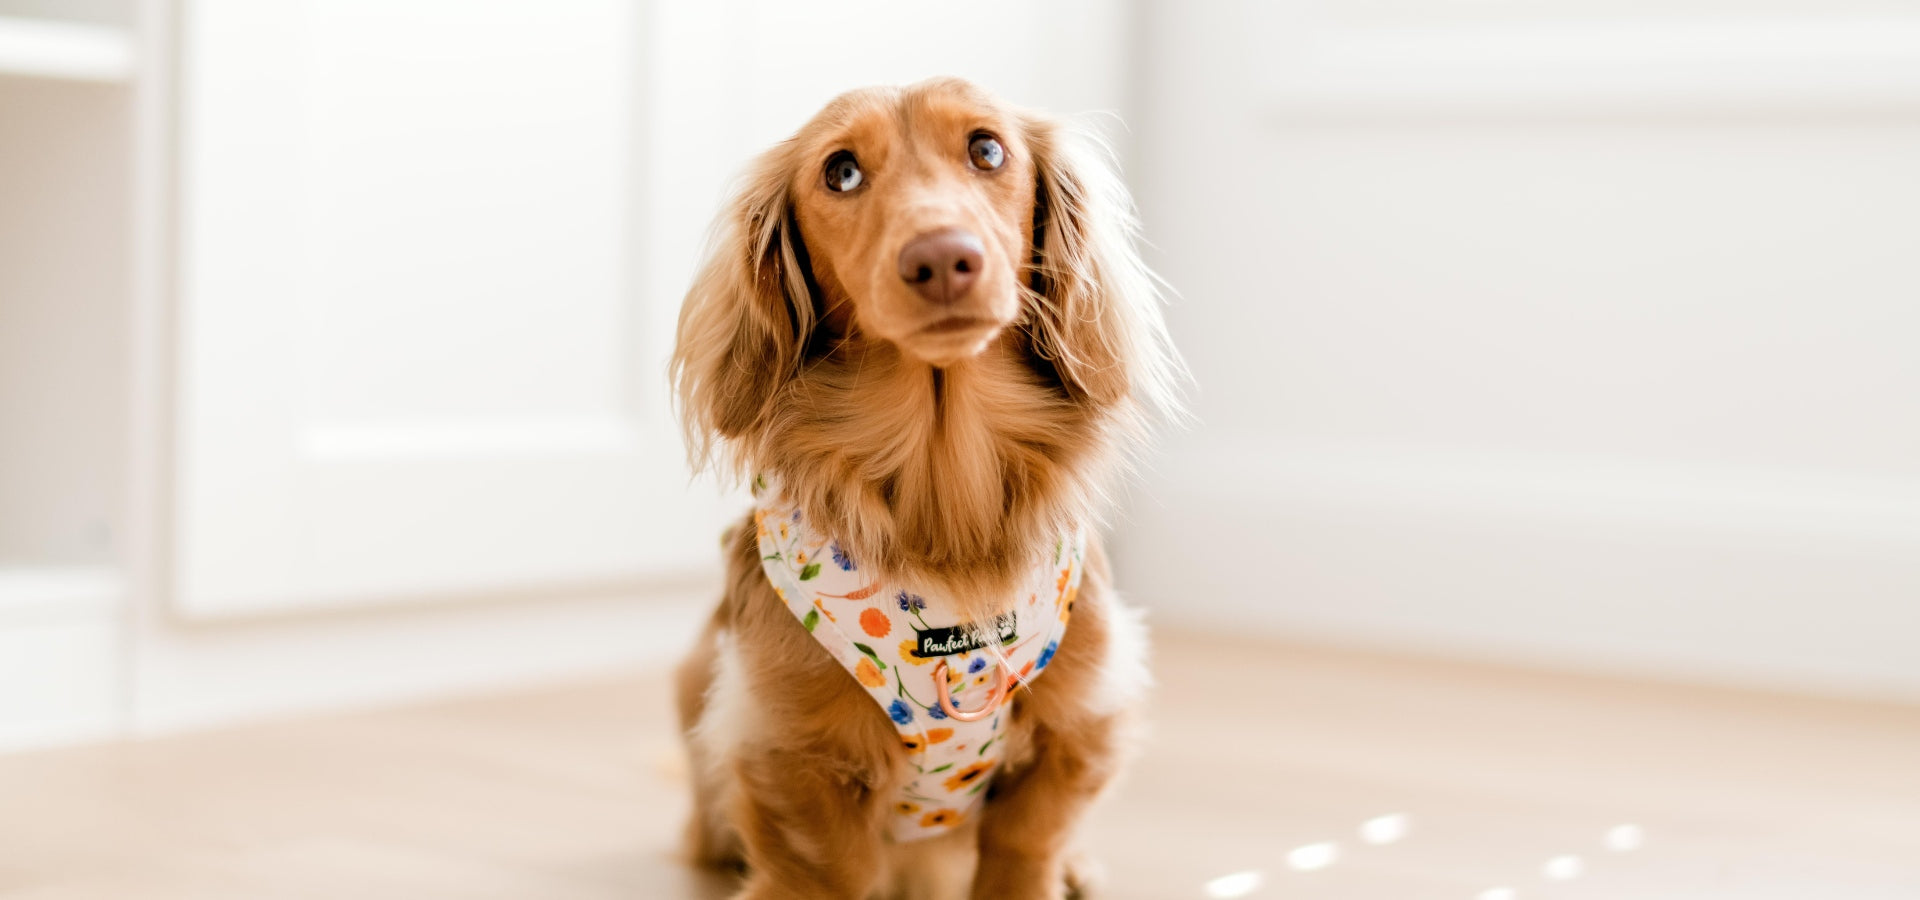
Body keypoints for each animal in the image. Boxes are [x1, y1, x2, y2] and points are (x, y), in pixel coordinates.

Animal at [675, 77, 1182, 898]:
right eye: (841, 172)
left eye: (987, 149)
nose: (943, 258)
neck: (944, 502)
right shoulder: (786, 749)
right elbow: (828, 868)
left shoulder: (1080, 724)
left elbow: (1026, 844)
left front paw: (1049, 867)